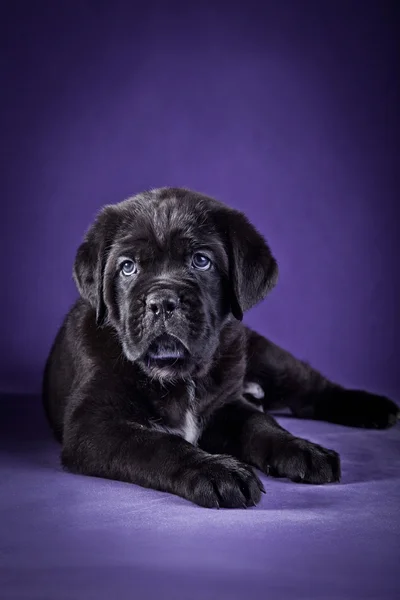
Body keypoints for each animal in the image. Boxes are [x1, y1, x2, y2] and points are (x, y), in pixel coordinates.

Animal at [42, 186, 398, 506]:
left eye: (201, 261)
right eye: (127, 266)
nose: (162, 302)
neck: (176, 374)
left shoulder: (226, 406)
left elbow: (261, 425)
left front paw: (303, 449)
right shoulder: (94, 424)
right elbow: (158, 443)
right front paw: (216, 471)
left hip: (266, 355)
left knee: (311, 390)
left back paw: (372, 407)